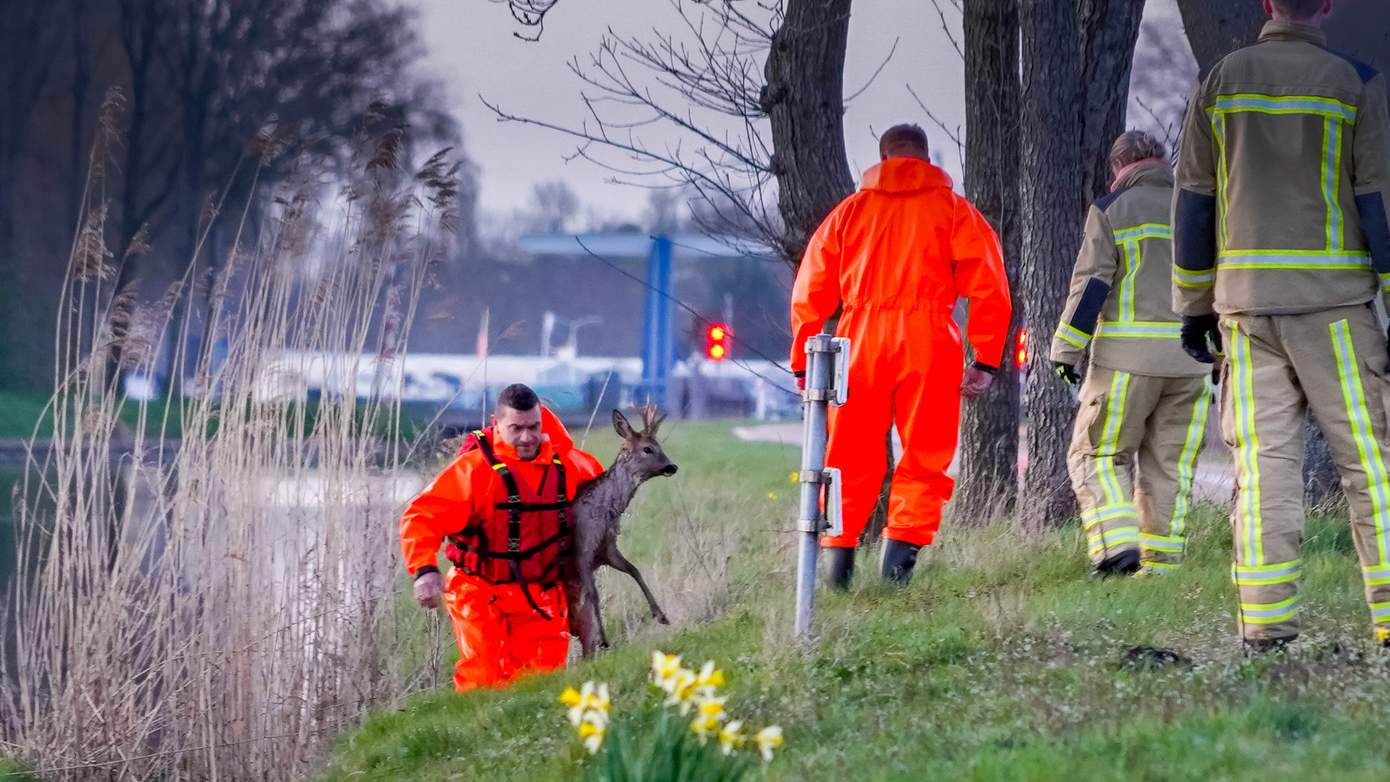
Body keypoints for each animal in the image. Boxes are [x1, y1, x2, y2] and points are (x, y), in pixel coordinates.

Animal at [561, 408, 675, 658]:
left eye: (659, 445)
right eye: (647, 448)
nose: (672, 466)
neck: (603, 512)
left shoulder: (608, 549)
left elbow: (634, 570)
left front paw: (661, 615)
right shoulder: (582, 549)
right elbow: (593, 593)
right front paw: (604, 639)